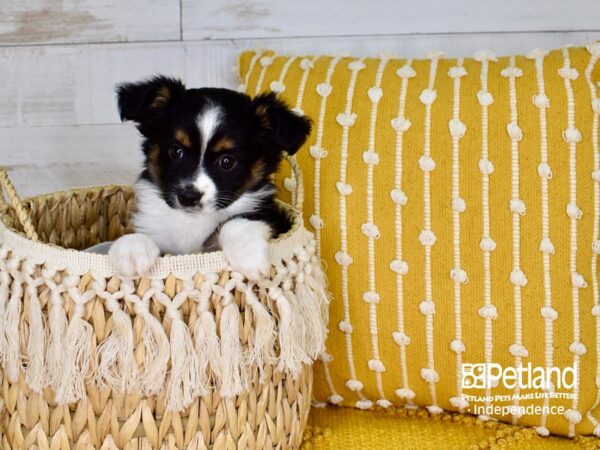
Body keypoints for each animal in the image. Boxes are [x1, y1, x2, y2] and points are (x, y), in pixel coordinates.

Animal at [108, 78, 312, 282]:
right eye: (176, 151)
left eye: (227, 161)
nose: (188, 197)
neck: (192, 221)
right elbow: (143, 236)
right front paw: (131, 251)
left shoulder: (275, 218)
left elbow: (237, 222)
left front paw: (249, 256)